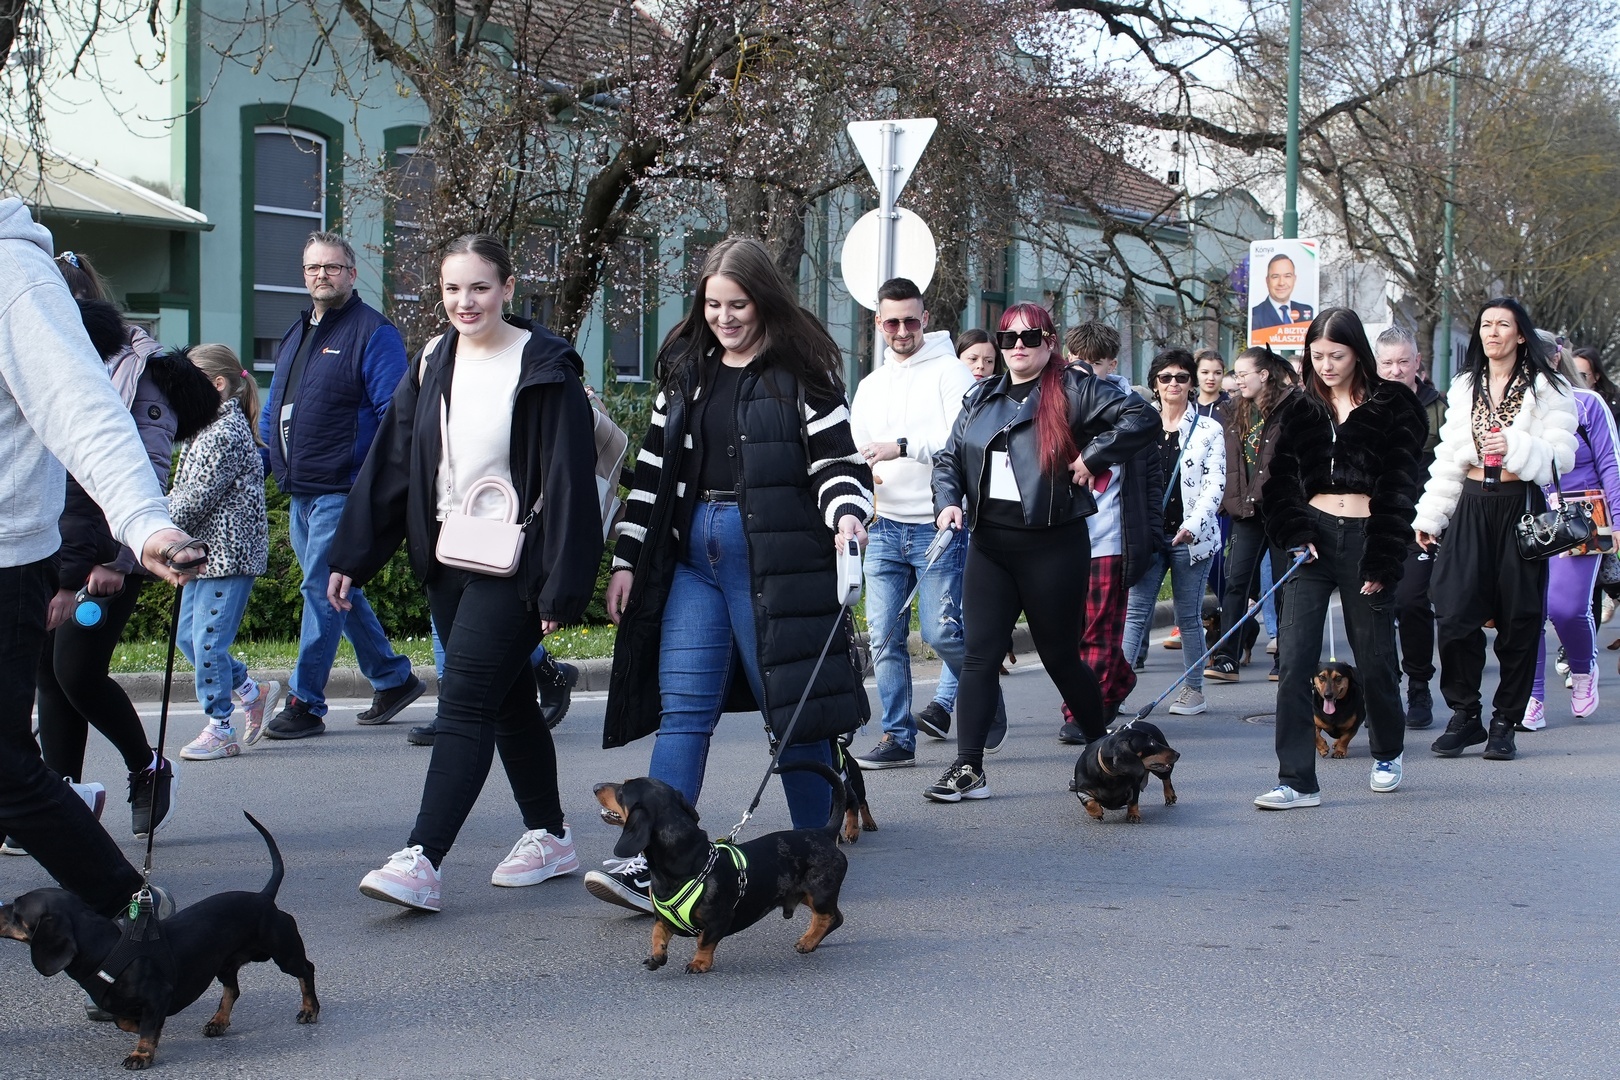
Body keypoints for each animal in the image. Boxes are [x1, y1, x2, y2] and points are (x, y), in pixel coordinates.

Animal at [0, 812, 317, 1070]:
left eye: (16, 911)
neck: (108, 950)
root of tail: (264, 898)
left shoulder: (159, 995)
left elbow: (148, 1029)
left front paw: (141, 1055)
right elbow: (127, 1021)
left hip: (284, 951)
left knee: (306, 970)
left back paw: (309, 1009)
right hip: (224, 964)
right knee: (233, 990)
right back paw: (218, 1022)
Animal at [593, 760, 848, 974]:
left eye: (623, 790)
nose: (595, 786)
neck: (687, 862)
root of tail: (824, 833)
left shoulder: (719, 919)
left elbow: (704, 941)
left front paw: (699, 963)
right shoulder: (662, 918)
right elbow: (657, 934)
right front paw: (657, 956)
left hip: (819, 894)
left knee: (830, 918)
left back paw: (809, 941)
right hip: (804, 895)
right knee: (829, 917)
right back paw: (809, 940)